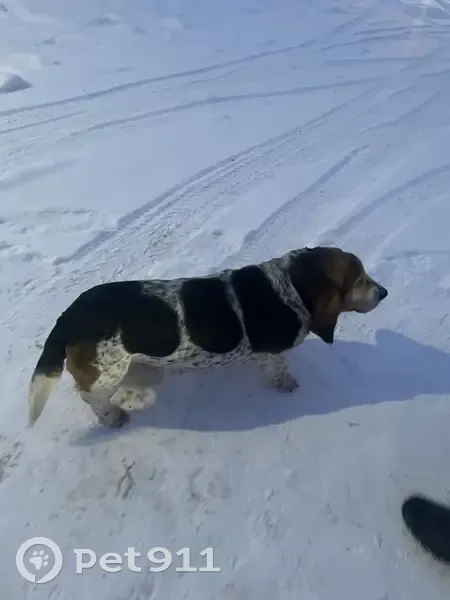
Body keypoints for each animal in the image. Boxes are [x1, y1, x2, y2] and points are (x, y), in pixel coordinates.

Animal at [28, 246, 388, 428]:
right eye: (359, 279)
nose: (384, 292)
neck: (290, 286)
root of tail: (68, 316)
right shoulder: (275, 354)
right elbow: (280, 370)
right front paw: (287, 385)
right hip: (106, 375)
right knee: (91, 397)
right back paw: (113, 417)